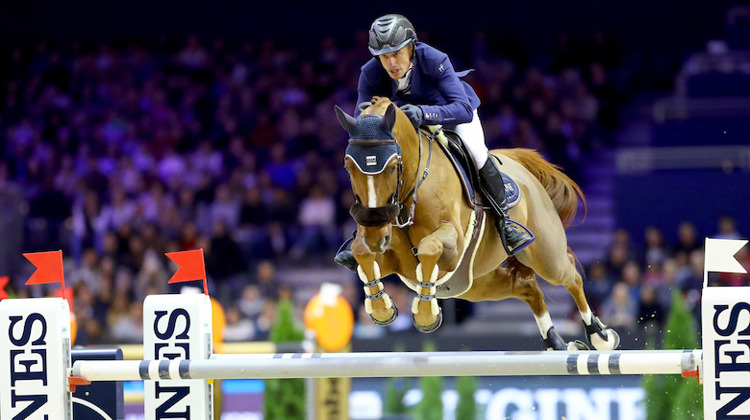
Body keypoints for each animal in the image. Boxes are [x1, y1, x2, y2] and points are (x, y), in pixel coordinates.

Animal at [338, 97, 620, 350]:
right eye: (348, 167)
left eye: (392, 166)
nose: (376, 236)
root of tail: (520, 166)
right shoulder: (397, 262)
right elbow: (361, 253)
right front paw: (382, 310)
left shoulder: (451, 248)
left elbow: (429, 248)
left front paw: (427, 315)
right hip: (474, 284)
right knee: (526, 286)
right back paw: (556, 342)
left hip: (544, 257)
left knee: (570, 275)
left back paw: (599, 336)